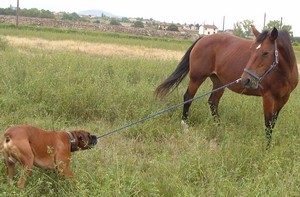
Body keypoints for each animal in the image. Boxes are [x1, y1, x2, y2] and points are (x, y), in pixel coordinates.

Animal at [156, 25, 298, 146]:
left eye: (266, 52)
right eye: (251, 50)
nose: (245, 79)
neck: (283, 72)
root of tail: (203, 38)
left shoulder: (283, 99)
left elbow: (273, 122)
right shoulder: (268, 98)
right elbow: (268, 124)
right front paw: (266, 149)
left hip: (219, 82)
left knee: (213, 103)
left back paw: (219, 129)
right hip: (196, 78)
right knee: (188, 98)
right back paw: (185, 126)